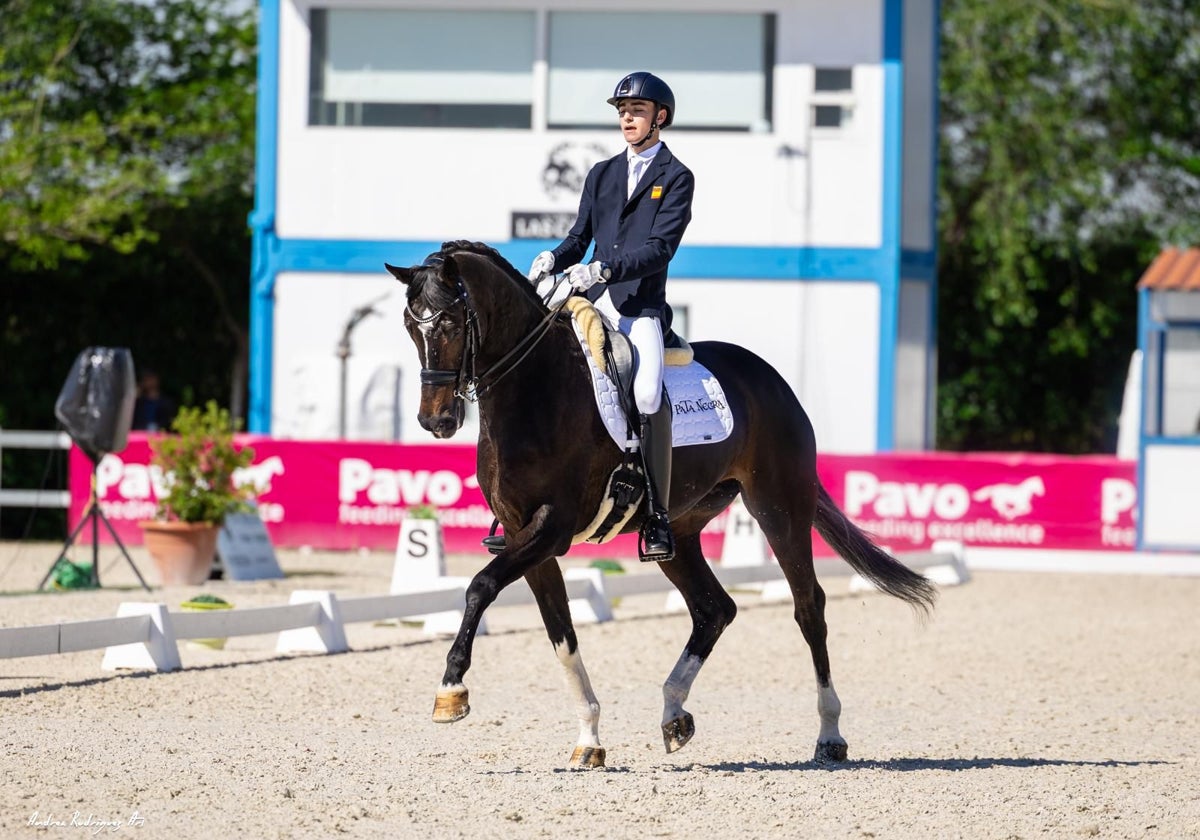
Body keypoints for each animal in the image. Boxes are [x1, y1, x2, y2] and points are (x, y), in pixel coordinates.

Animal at [386, 241, 936, 768]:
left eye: (451, 323)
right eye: (411, 327)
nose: (436, 421)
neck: (536, 391)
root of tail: (770, 378)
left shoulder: (551, 529)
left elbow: (480, 586)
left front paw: (451, 690)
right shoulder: (528, 537)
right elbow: (561, 633)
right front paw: (589, 739)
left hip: (779, 509)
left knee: (808, 608)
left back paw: (829, 735)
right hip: (679, 531)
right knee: (714, 608)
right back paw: (675, 714)